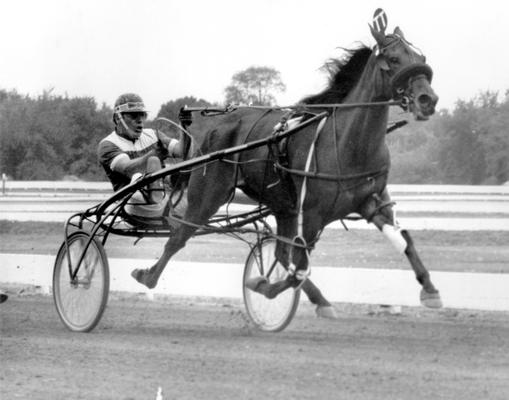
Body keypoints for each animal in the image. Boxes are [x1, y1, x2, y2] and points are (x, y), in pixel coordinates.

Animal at [131, 18, 440, 312]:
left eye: (419, 55)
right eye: (394, 59)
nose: (428, 99)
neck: (348, 144)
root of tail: (217, 125)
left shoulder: (370, 201)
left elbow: (405, 239)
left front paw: (430, 289)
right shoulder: (312, 213)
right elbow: (299, 267)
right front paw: (264, 286)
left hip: (281, 204)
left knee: (279, 252)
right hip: (209, 193)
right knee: (179, 235)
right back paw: (147, 276)